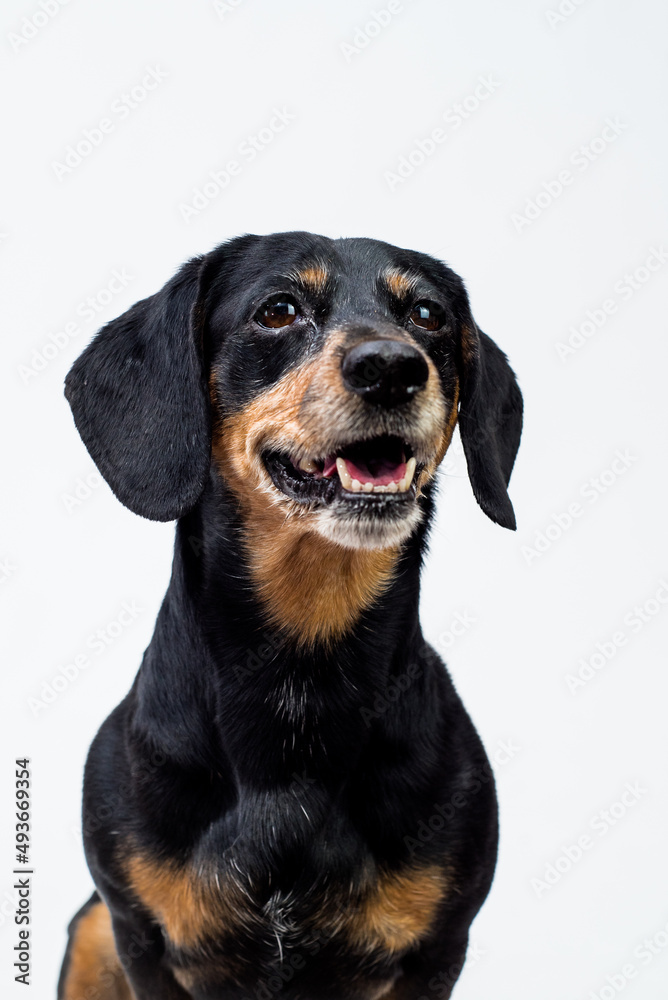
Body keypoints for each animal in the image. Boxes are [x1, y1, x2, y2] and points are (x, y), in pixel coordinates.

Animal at [57, 230, 520, 996]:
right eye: (277, 311)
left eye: (427, 313)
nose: (392, 367)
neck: (301, 667)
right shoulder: (138, 934)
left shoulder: (438, 949)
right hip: (91, 931)